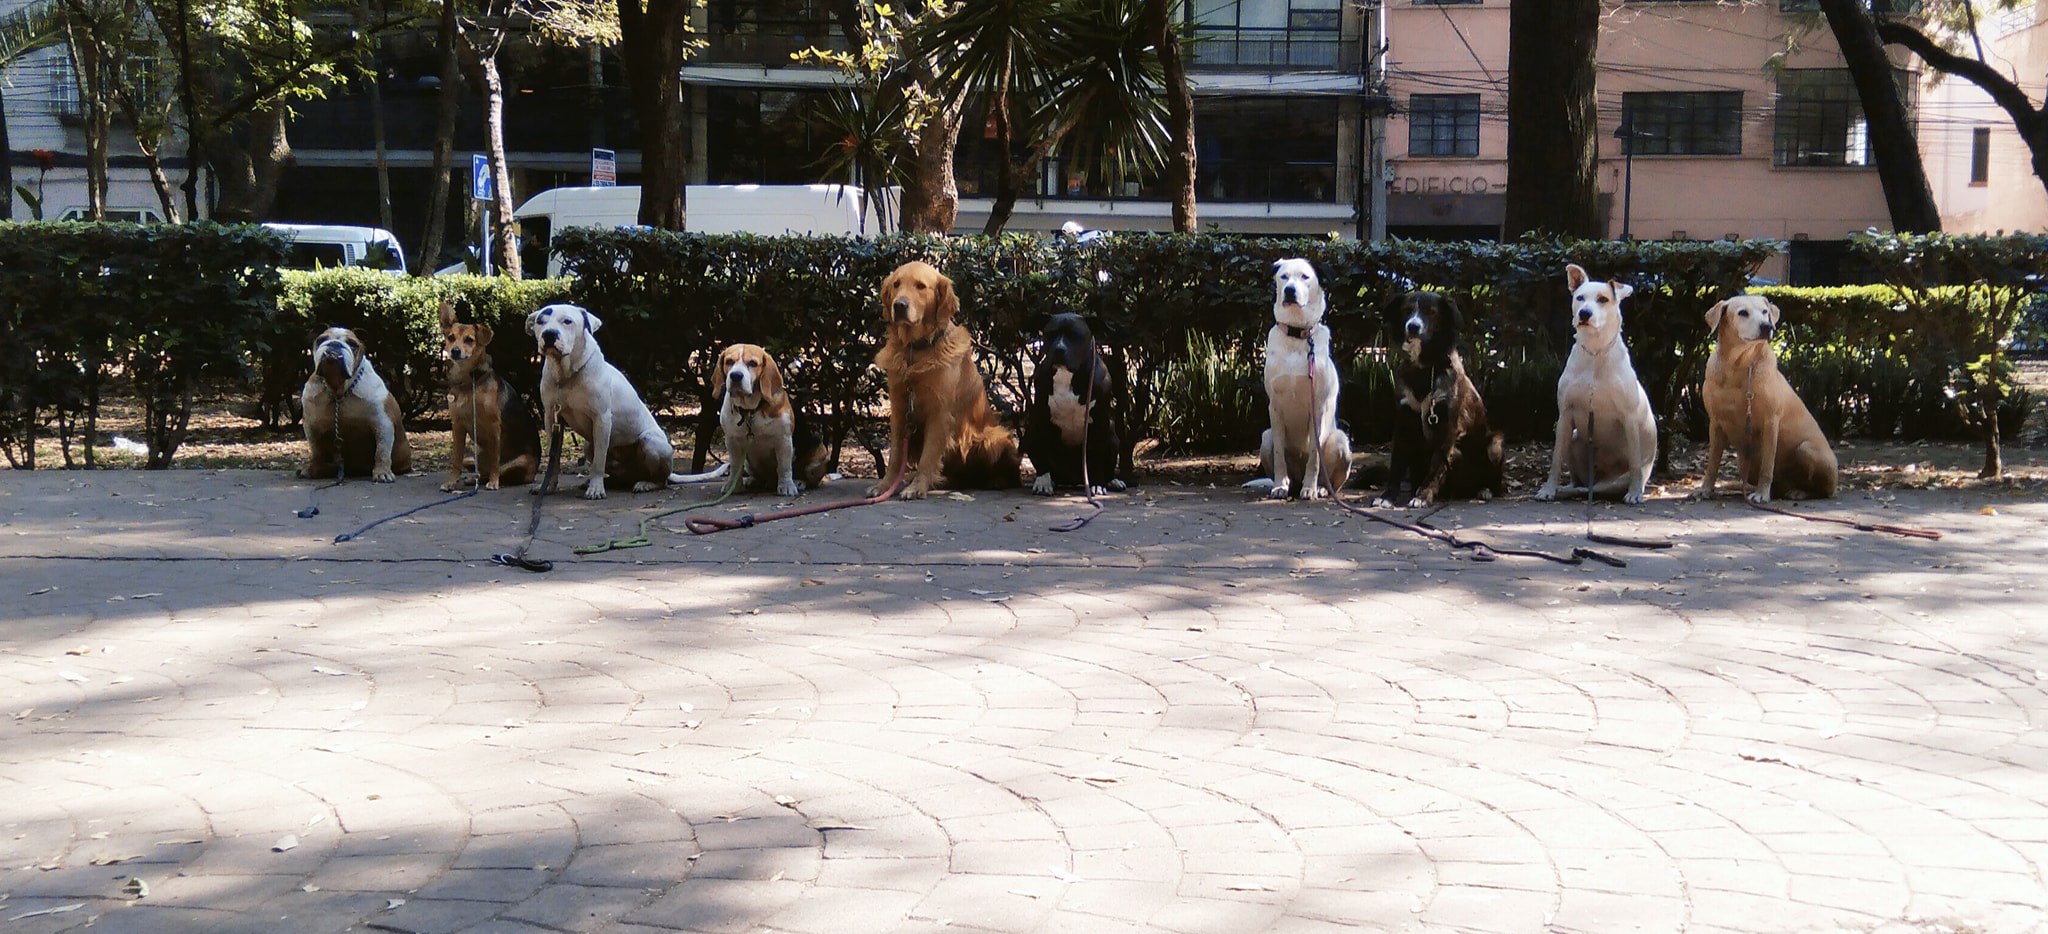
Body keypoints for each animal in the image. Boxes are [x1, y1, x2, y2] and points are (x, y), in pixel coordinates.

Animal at [438, 303, 540, 491]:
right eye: (451, 337)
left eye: (469, 340)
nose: (455, 351)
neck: (469, 382)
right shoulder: (457, 426)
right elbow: (456, 460)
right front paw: (451, 482)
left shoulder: (493, 426)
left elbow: (495, 460)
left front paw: (494, 482)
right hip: (474, 455)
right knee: (478, 469)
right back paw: (473, 478)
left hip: (522, 461)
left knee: (503, 472)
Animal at [868, 259, 1019, 499]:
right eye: (896, 284)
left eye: (921, 286)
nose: (899, 305)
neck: (915, 351)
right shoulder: (900, 410)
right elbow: (895, 456)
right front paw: (885, 486)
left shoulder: (939, 413)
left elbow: (928, 457)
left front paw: (917, 488)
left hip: (992, 438)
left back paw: (995, 480)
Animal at [1032, 313, 1130, 495]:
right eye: (1051, 334)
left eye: (1075, 336)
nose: (1059, 349)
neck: (1067, 374)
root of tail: (1073, 479)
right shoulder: (1041, 415)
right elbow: (1042, 448)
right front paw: (1043, 481)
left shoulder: (1100, 420)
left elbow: (1097, 455)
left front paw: (1098, 484)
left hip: (1113, 436)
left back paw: (1112, 480)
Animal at [1376, 292, 1507, 507]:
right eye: (1406, 310)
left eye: (1430, 312)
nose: (1413, 326)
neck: (1426, 368)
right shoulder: (1404, 420)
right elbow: (1396, 462)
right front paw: (1387, 496)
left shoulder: (1447, 426)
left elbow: (1436, 467)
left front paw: (1423, 497)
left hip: (1495, 443)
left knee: (1496, 483)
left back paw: (1485, 490)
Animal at [1540, 262, 1662, 507]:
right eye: (1579, 298)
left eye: (1603, 299)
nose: (1584, 313)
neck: (1595, 354)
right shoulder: (1565, 414)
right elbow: (1556, 458)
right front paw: (1548, 489)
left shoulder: (1629, 417)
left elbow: (1635, 460)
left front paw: (1634, 493)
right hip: (1574, 436)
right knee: (1580, 484)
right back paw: (1564, 488)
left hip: (1614, 479)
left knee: (1595, 488)